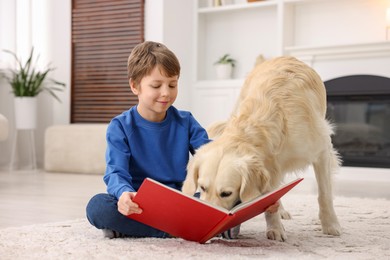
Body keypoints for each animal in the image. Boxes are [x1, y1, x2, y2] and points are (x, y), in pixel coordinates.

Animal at [183, 55, 342, 241]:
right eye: (202, 188)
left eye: (227, 193)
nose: (208, 226)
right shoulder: (271, 165)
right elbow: (270, 196)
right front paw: (275, 227)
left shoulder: (322, 151)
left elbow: (324, 194)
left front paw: (330, 225)